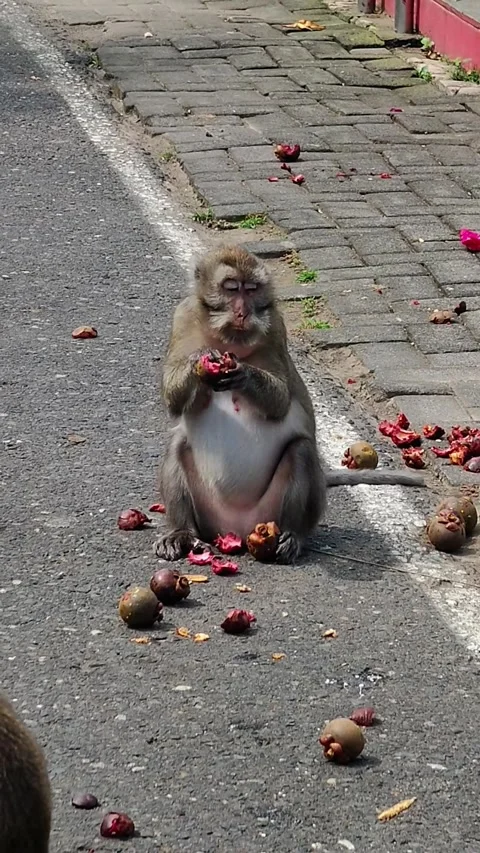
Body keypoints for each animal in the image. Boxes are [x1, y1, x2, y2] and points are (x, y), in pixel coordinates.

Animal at [154, 245, 424, 565]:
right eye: (231, 287)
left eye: (252, 289)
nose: (243, 311)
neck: (228, 339)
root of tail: (235, 530)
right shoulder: (182, 318)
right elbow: (172, 400)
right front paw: (199, 360)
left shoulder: (275, 328)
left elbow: (281, 402)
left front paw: (243, 373)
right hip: (207, 516)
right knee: (177, 446)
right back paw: (181, 532)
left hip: (272, 512)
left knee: (301, 450)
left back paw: (293, 536)